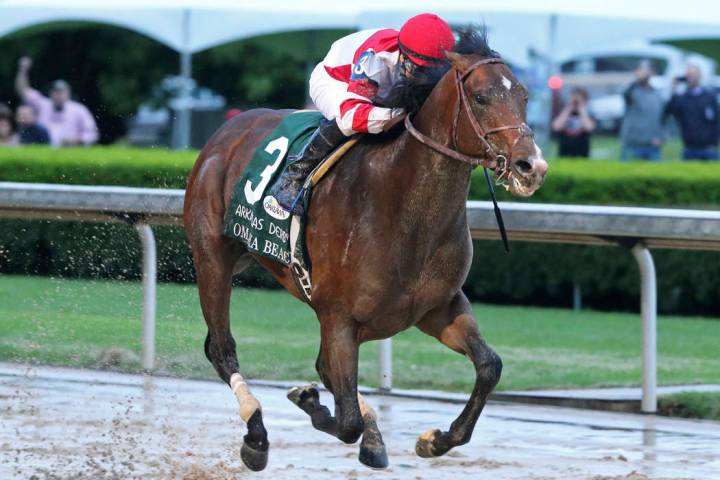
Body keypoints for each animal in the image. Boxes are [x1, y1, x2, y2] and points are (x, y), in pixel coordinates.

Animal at [184, 31, 544, 472]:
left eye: (524, 95)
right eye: (480, 97)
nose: (532, 167)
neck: (402, 206)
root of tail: (228, 129)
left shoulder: (437, 308)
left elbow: (490, 366)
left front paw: (435, 440)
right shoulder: (339, 317)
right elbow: (346, 419)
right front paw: (312, 403)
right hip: (212, 259)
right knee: (221, 349)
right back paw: (256, 435)